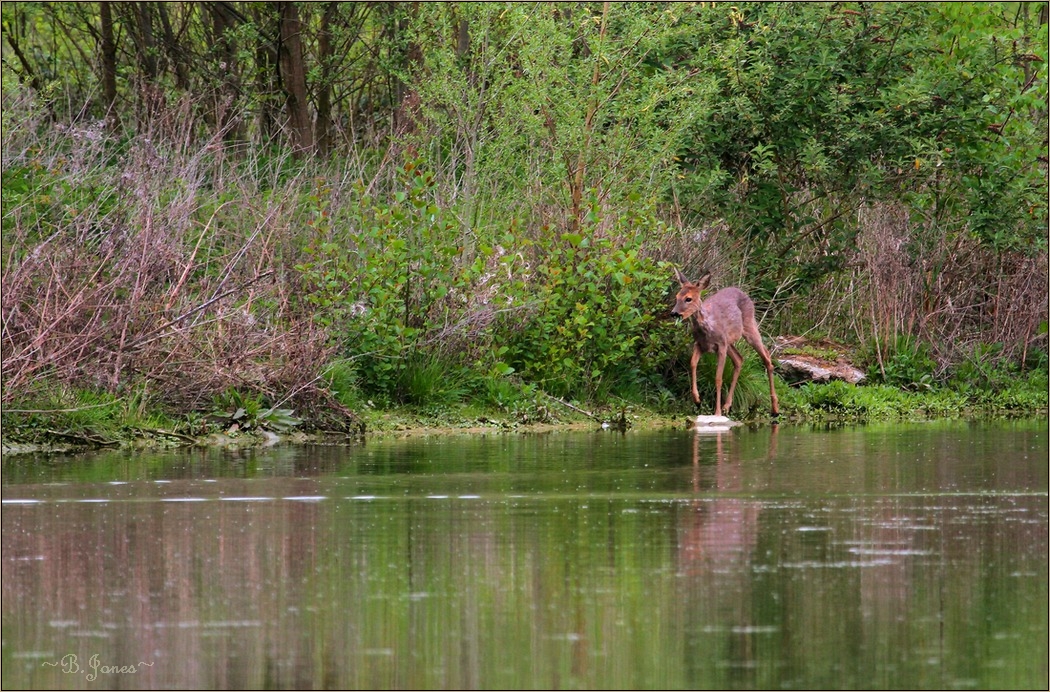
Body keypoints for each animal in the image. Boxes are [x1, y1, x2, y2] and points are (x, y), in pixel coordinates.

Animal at [672, 266, 781, 417]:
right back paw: (727, 406)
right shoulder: (700, 344)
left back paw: (775, 409)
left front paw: (717, 413)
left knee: (766, 357)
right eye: (677, 297)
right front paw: (697, 400)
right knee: (739, 359)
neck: (708, 327)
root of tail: (743, 292)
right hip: (729, 341)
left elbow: (718, 378)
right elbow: (692, 364)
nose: (674, 313)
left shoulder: (721, 346)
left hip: (748, 326)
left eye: (688, 298)